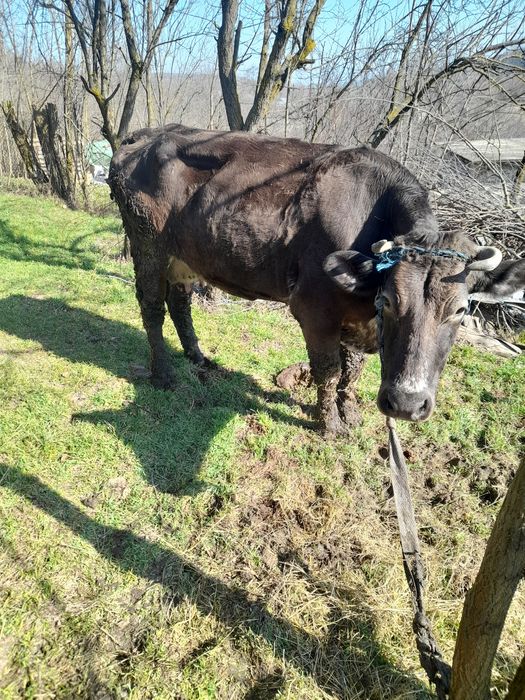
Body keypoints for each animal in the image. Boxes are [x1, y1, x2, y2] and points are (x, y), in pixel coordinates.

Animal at [108, 124, 524, 435]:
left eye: (459, 310)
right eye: (390, 301)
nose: (406, 403)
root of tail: (148, 135)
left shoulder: (357, 316)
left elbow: (353, 370)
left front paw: (350, 413)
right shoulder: (314, 308)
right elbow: (329, 368)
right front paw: (330, 426)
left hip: (186, 256)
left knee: (180, 302)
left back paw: (198, 357)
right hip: (148, 244)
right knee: (152, 306)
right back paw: (164, 374)